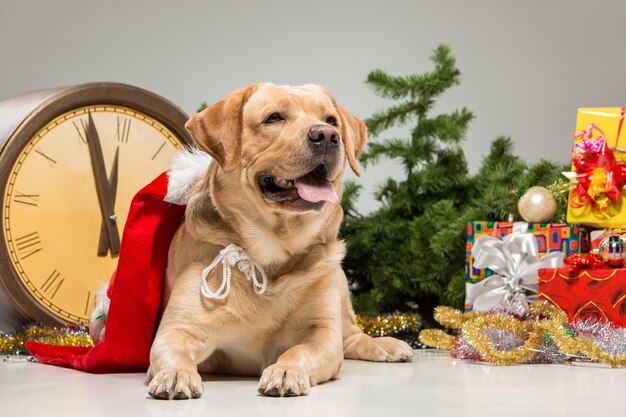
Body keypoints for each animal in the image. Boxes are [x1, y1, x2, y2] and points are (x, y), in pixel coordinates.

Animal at [147, 83, 414, 398]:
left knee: (351, 336)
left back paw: (385, 344)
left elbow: (299, 350)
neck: (272, 255)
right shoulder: (177, 330)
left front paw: (286, 370)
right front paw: (175, 373)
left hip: (339, 285)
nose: (327, 135)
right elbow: (174, 351)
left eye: (331, 120)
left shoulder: (323, 331)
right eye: (273, 118)